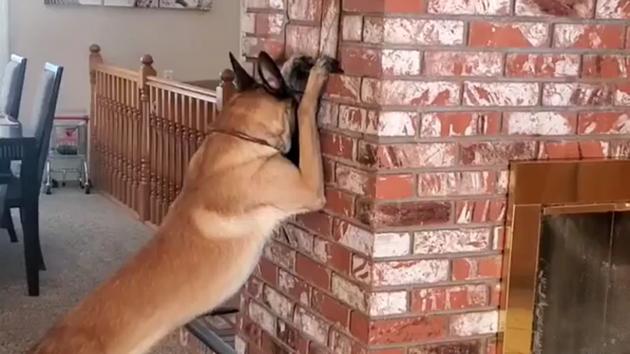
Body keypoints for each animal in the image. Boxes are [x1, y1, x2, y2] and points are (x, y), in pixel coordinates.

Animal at [28, 51, 340, 354]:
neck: (237, 133)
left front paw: (292, 64)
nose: (302, 66)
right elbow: (305, 113)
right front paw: (314, 80)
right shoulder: (309, 187)